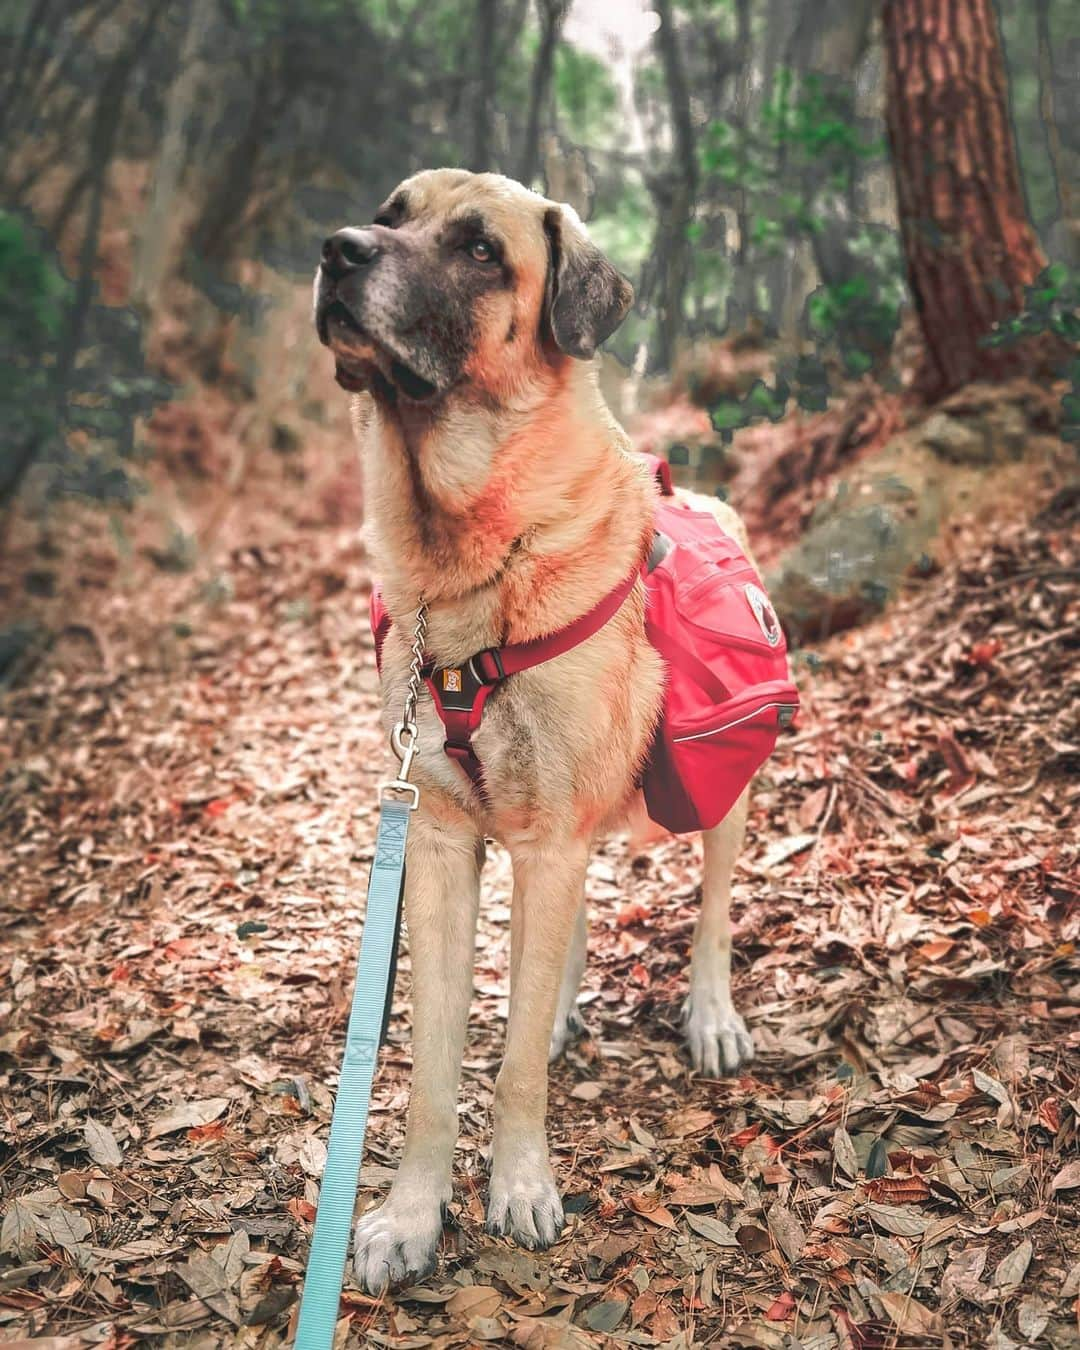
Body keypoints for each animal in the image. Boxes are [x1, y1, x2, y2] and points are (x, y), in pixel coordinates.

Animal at [311, 168, 750, 1285]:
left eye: (479, 250)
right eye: (392, 211)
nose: (338, 248)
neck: (475, 563)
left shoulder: (545, 838)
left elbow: (506, 1073)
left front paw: (518, 1187)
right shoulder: (439, 839)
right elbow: (432, 1063)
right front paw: (409, 1215)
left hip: (722, 795)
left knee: (715, 910)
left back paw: (711, 1015)